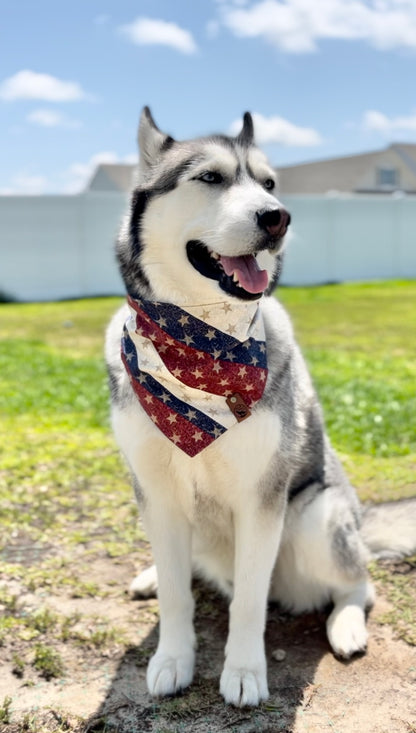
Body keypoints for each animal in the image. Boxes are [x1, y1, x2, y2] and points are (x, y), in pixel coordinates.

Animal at [106, 107, 416, 704]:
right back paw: (152, 575)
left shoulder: (261, 498)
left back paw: (346, 627)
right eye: (210, 177)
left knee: (358, 585)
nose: (278, 218)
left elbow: (249, 601)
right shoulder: (156, 492)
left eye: (270, 184)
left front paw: (245, 673)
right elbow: (176, 595)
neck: (201, 342)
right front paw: (172, 659)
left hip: (317, 518)